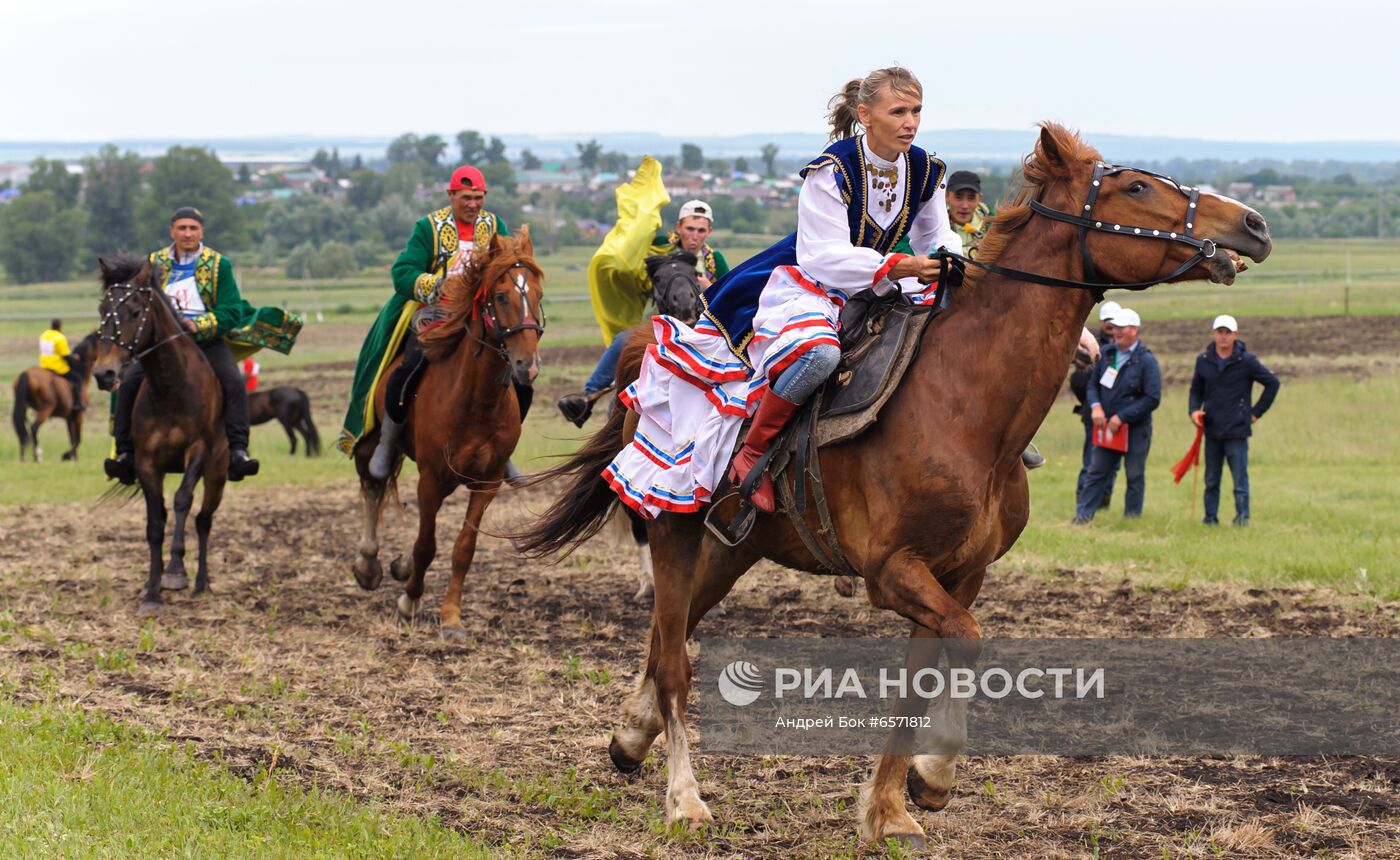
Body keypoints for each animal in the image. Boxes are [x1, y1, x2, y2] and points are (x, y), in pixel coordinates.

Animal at [11, 331, 98, 465]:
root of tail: (26, 374)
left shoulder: (69, 418)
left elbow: (72, 438)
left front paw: (74, 458)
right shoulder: (78, 415)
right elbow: (78, 439)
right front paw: (67, 456)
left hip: (24, 408)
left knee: (23, 430)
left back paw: (23, 457)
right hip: (45, 409)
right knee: (33, 429)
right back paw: (37, 456)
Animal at [90, 256, 225, 613]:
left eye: (136, 312)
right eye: (102, 309)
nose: (104, 373)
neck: (170, 387)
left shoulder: (197, 451)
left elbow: (182, 501)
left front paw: (175, 573)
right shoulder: (148, 463)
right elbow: (155, 523)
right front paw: (152, 590)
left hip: (218, 476)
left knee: (203, 520)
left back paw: (202, 584)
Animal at [352, 225, 543, 644]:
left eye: (538, 295)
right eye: (501, 296)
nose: (527, 366)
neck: (475, 401)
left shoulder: (487, 482)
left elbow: (463, 549)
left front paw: (451, 617)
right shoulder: (431, 479)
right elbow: (426, 544)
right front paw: (408, 604)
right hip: (370, 442)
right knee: (373, 485)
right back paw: (369, 564)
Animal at [520, 126, 1276, 851]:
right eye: (1137, 187)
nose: (1254, 223)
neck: (966, 406)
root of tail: (649, 347)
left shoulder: (955, 573)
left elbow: (924, 678)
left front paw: (889, 810)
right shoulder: (893, 571)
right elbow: (967, 643)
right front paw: (932, 776)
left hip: (736, 546)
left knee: (664, 640)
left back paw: (629, 738)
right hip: (672, 526)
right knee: (675, 658)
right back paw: (685, 801)